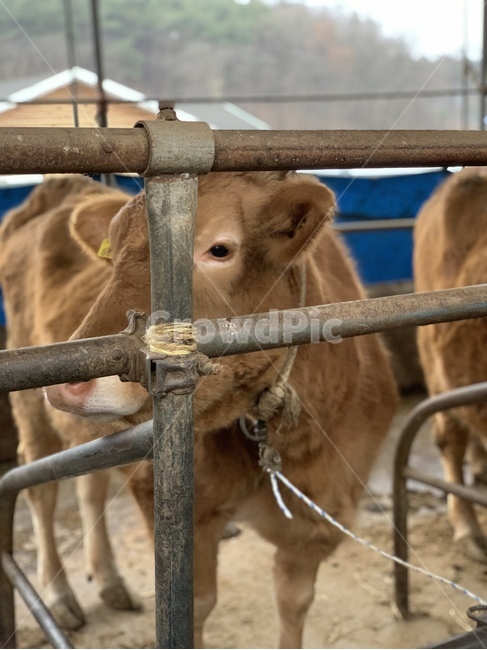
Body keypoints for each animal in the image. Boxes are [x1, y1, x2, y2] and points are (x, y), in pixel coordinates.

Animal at [35, 169, 397, 648]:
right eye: (113, 252)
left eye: (220, 249)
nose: (68, 382)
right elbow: (197, 604)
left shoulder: (322, 512)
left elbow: (295, 601)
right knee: (41, 493)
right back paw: (59, 595)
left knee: (90, 486)